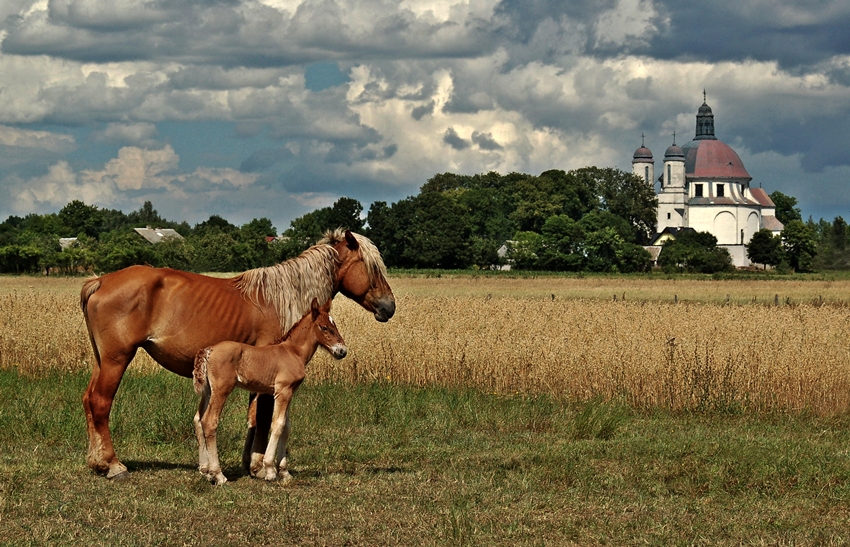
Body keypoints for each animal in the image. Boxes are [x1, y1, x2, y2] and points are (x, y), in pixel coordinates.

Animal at [81, 230, 392, 480]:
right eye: (372, 267)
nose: (390, 307)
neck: (281, 297)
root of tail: (101, 281)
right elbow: (265, 417)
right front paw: (262, 466)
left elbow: (257, 418)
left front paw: (255, 464)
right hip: (116, 360)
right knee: (100, 402)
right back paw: (113, 465)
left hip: (101, 360)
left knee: (88, 399)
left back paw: (96, 462)